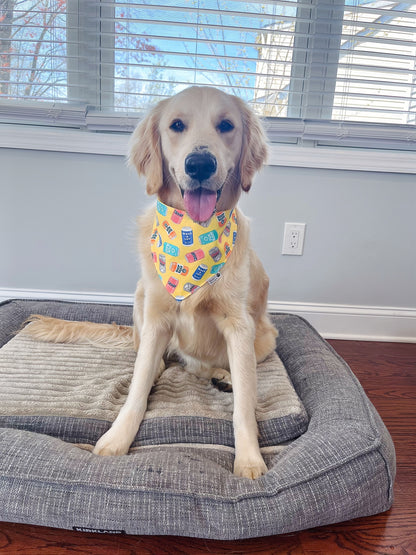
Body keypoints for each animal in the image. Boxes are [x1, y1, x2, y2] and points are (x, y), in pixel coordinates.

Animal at [27, 86, 278, 478]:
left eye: (226, 125)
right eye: (176, 125)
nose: (200, 164)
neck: (194, 234)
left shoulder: (240, 326)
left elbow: (244, 407)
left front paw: (249, 459)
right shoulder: (157, 315)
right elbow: (138, 388)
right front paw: (117, 438)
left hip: (265, 336)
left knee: (220, 370)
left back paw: (224, 376)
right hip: (141, 295)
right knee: (157, 358)